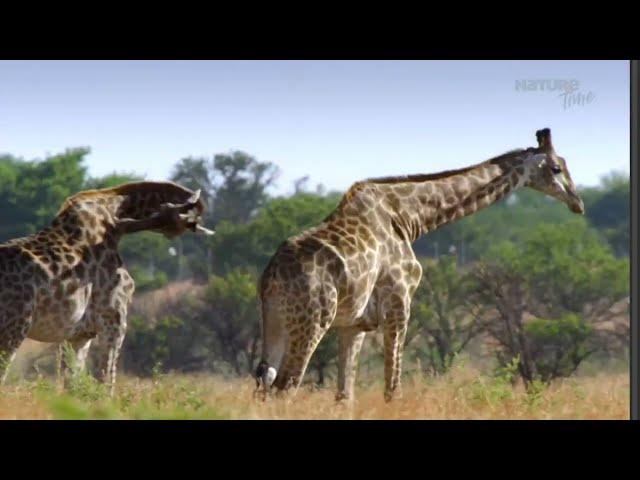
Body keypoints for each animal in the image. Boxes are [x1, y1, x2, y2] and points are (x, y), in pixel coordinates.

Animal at [0, 182, 215, 392]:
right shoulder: (114, 320)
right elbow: (106, 382)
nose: (169, 234)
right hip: (15, 327)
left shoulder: (79, 335)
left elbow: (72, 385)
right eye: (183, 222)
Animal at [256, 127, 584, 402]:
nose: (577, 202)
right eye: (556, 168)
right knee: (284, 386)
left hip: (277, 323)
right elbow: (392, 389)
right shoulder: (399, 302)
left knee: (264, 380)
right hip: (313, 321)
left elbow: (345, 396)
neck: (410, 218)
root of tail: (270, 278)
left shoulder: (354, 324)